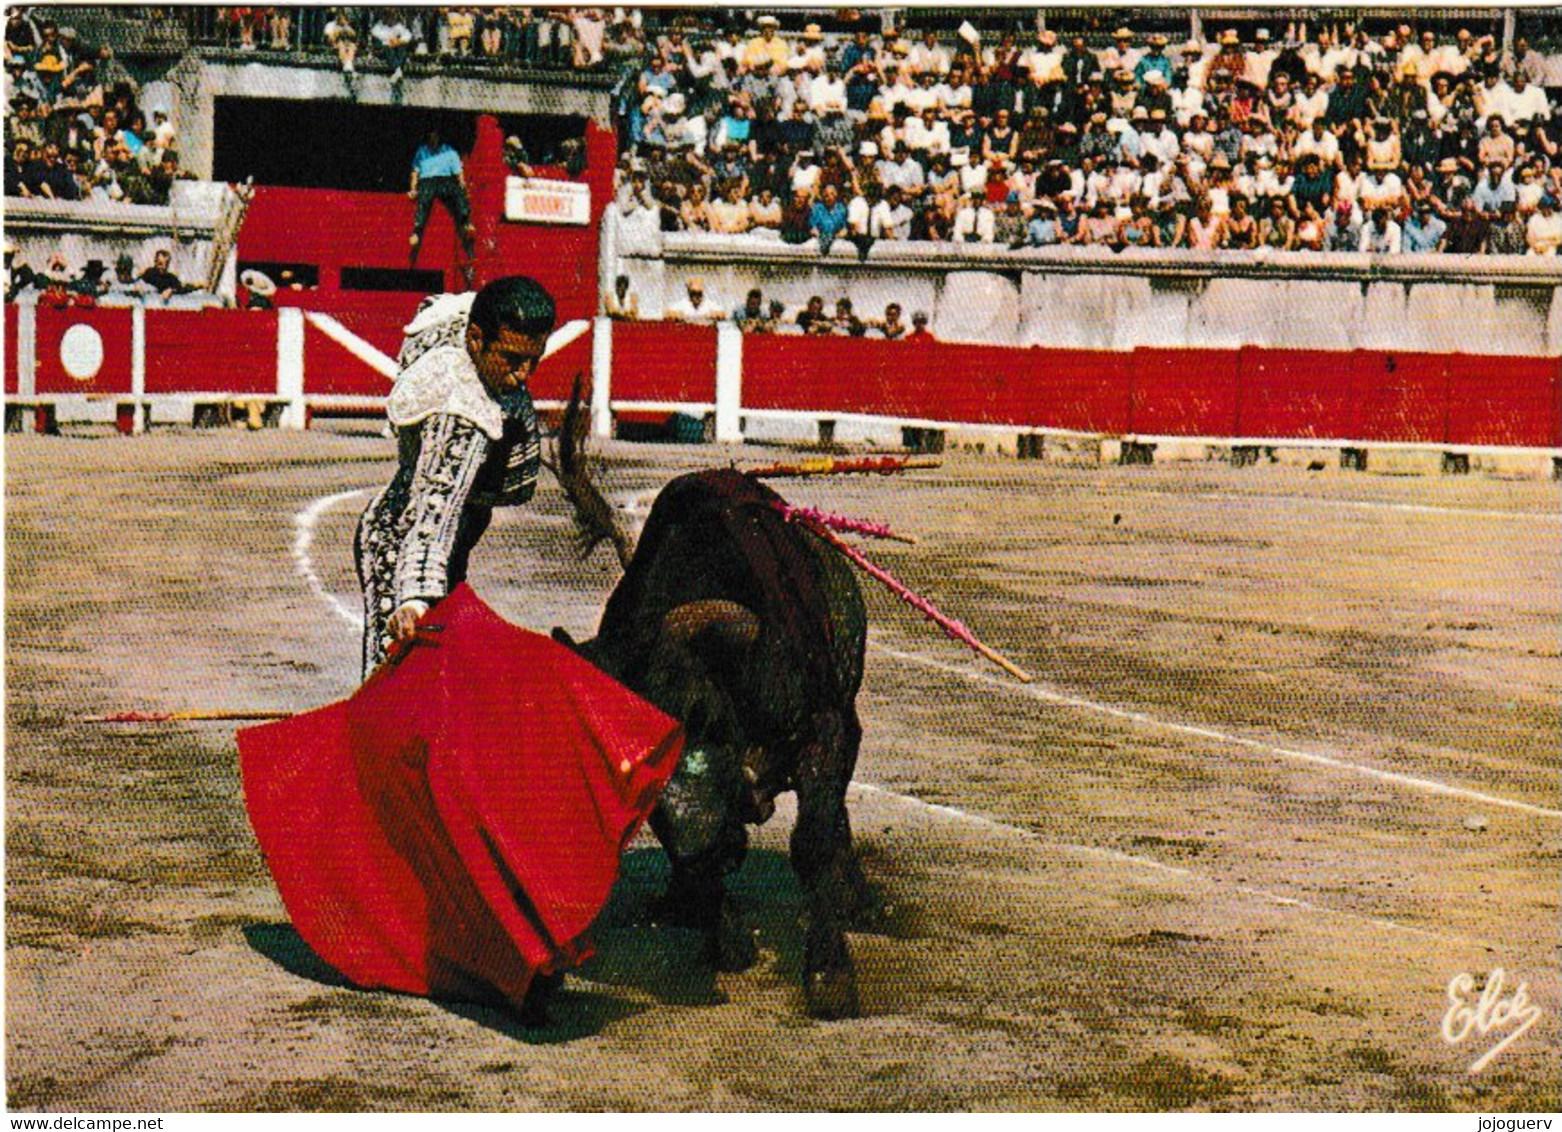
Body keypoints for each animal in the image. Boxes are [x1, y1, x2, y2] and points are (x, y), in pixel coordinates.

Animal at [559, 468, 880, 1018]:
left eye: (699, 714)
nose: (703, 846)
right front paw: (725, 934)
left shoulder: (826, 730)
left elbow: (812, 842)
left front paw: (830, 975)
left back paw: (853, 897)